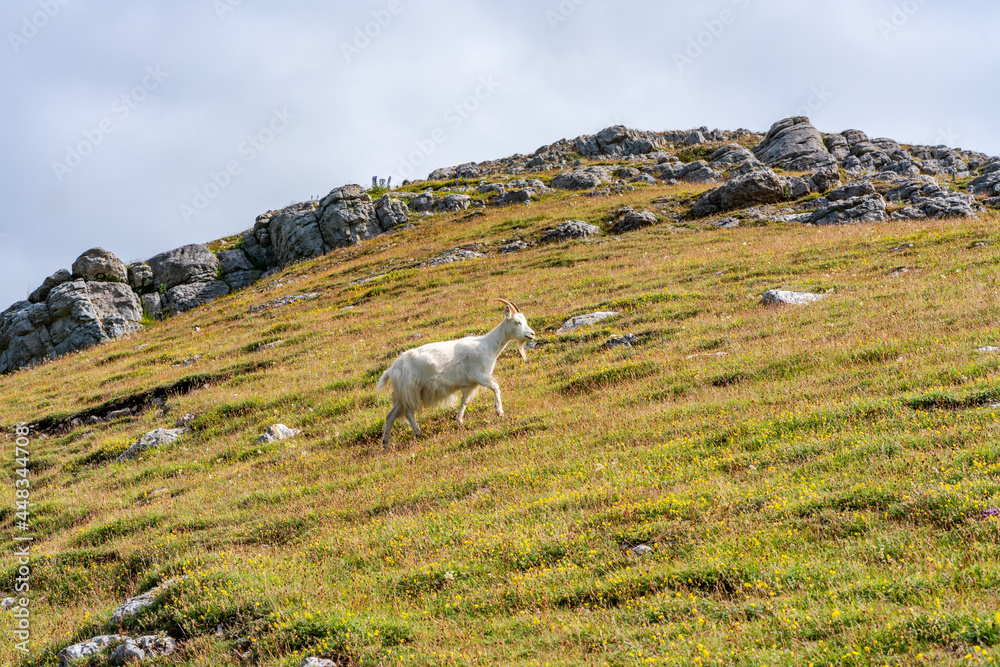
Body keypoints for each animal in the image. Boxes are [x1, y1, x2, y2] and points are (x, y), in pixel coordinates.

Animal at [376, 299, 536, 449]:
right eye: (517, 322)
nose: (532, 334)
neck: (488, 345)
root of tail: (391, 369)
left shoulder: (470, 384)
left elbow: (464, 401)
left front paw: (459, 419)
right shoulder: (478, 376)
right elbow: (496, 387)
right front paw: (499, 412)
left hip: (402, 394)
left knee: (390, 415)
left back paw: (385, 444)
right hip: (411, 389)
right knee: (409, 412)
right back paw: (418, 433)